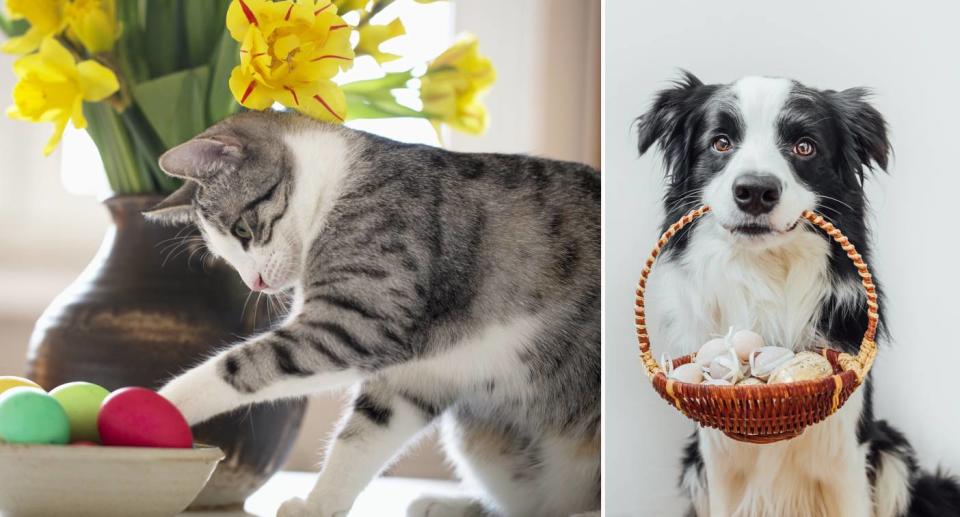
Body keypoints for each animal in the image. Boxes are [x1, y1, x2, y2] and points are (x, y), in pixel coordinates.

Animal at [145, 110, 596, 516]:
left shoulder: (362, 316)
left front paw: (163, 404)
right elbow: (366, 434)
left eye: (242, 230)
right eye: (222, 254)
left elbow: (241, 366)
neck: (338, 186)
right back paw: (445, 504)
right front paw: (319, 505)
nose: (255, 283)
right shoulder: (416, 374)